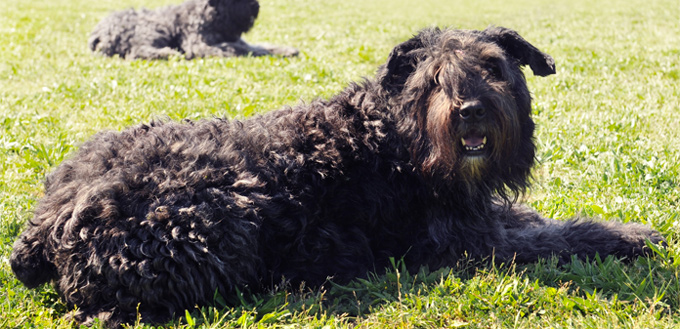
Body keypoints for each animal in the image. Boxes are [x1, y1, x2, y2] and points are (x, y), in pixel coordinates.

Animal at [10, 26, 664, 326]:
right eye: (432, 79)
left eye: (494, 67)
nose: (470, 110)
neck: (393, 140)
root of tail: (44, 227)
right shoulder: (469, 247)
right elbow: (554, 237)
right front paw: (627, 236)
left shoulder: (479, 218)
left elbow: (530, 218)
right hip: (219, 218)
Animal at [87, 0, 298, 59]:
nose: (255, 5)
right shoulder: (200, 45)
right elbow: (237, 48)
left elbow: (261, 46)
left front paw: (286, 50)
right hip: (152, 30)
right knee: (137, 52)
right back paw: (168, 53)